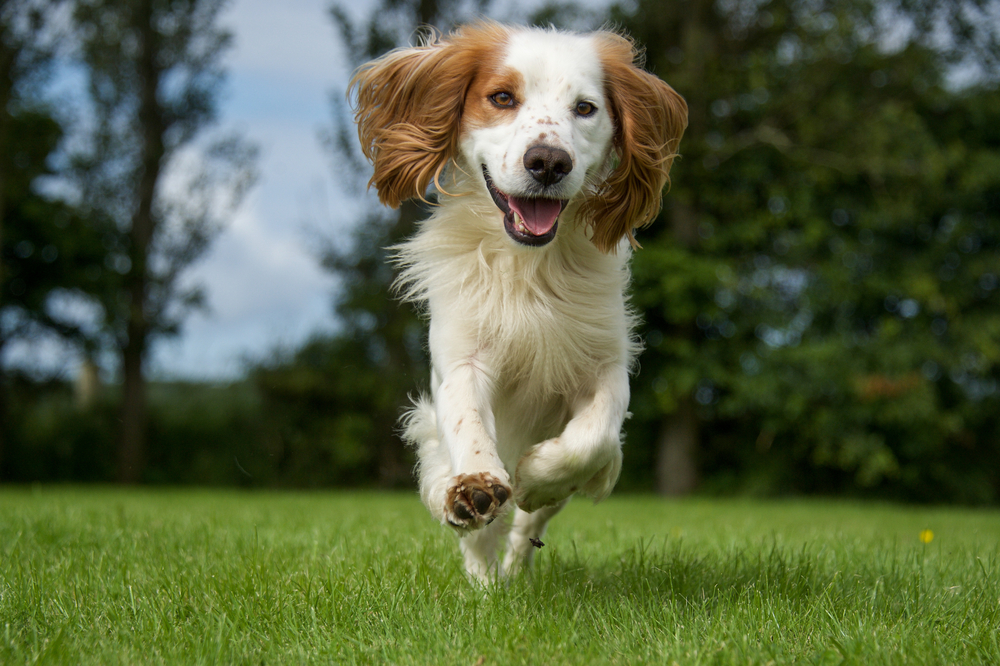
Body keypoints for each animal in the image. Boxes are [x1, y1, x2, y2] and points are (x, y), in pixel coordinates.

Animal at [352, 20, 688, 580]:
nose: (548, 162)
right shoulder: (462, 361)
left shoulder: (605, 367)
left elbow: (592, 438)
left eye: (585, 108)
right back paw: (484, 574)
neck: (530, 266)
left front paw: (536, 474)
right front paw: (477, 487)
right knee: (476, 536)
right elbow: (469, 424)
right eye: (502, 98)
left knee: (529, 527)